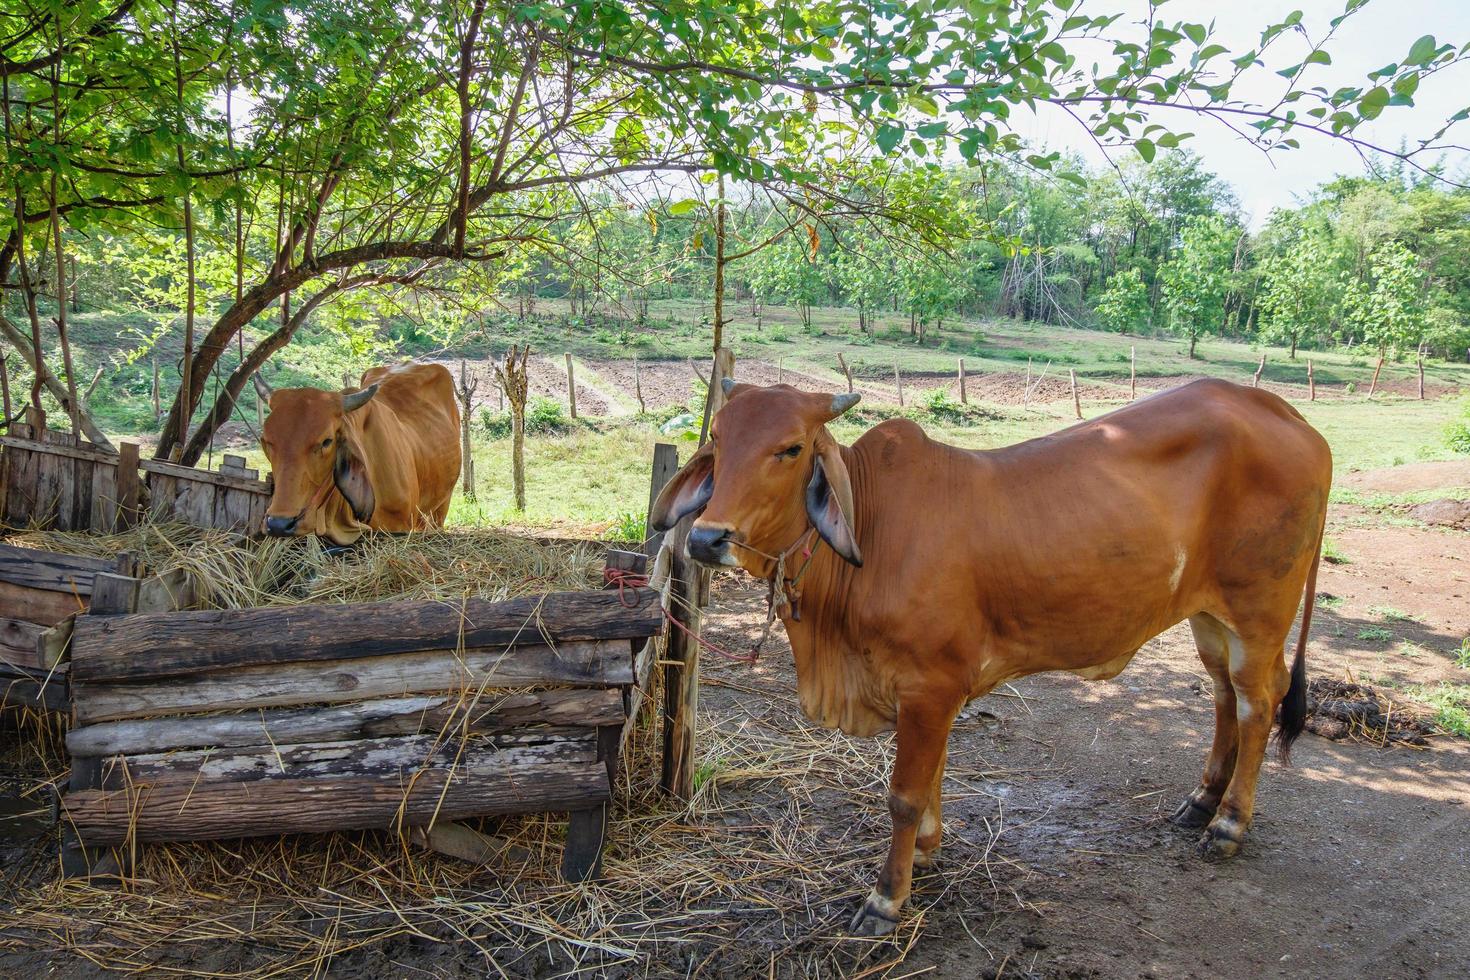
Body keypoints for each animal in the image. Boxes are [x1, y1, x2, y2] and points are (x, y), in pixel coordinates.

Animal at [655, 376, 1334, 934]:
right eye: (717, 438)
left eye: (791, 449)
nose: (707, 538)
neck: (874, 532)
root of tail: (1286, 414)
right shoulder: (930, 693)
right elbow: (931, 778)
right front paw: (927, 851)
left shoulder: (929, 687)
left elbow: (904, 793)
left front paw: (887, 898)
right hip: (1209, 617)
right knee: (1223, 696)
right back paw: (1201, 802)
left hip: (1259, 614)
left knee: (1257, 703)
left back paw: (1229, 824)